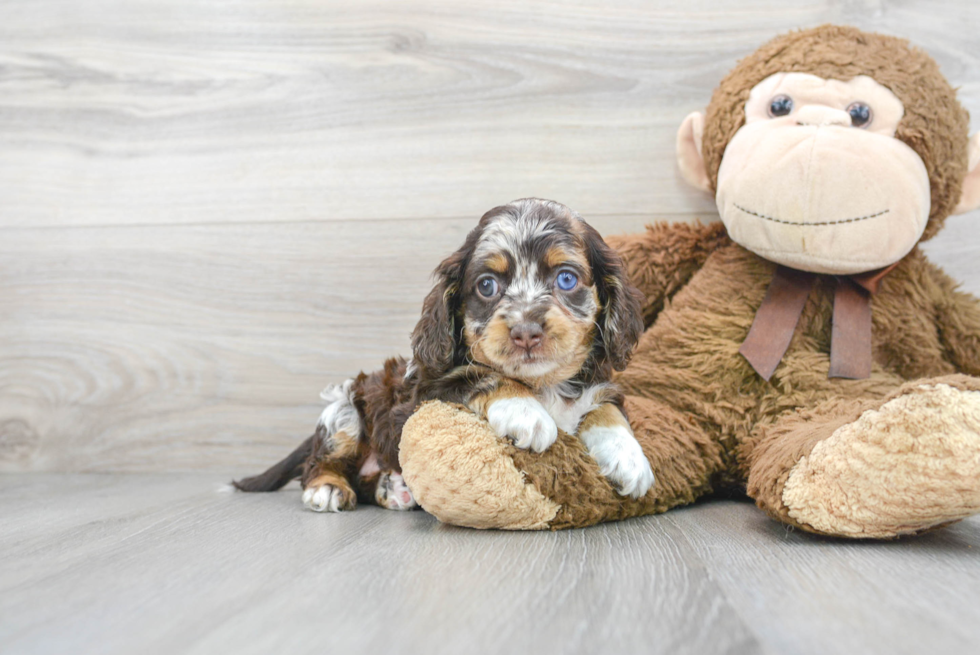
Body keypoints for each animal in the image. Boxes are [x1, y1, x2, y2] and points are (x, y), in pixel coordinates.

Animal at [234, 200, 656, 512]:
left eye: (566, 278)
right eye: (487, 285)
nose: (525, 332)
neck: (544, 384)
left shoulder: (601, 384)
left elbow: (607, 410)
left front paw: (629, 458)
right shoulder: (428, 391)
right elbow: (483, 374)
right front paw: (526, 412)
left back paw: (394, 488)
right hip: (343, 411)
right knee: (320, 462)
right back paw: (327, 487)